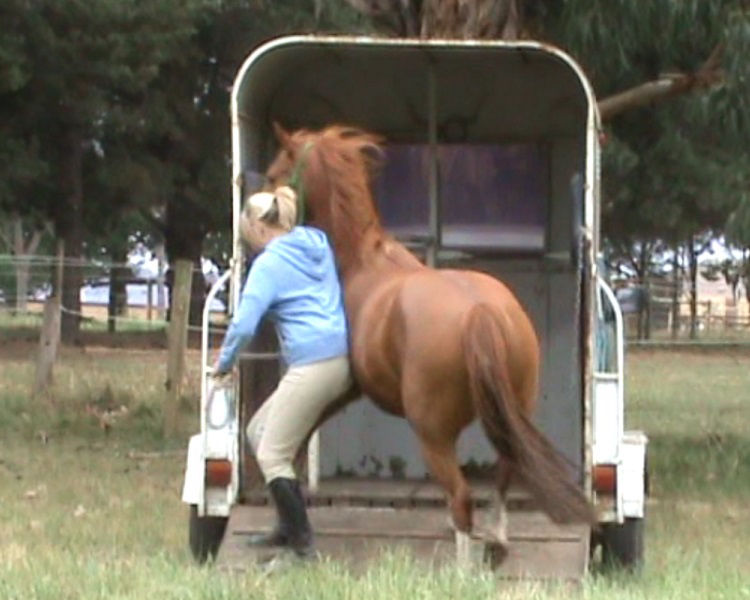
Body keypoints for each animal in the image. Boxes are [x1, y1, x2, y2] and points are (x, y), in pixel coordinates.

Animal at [265, 123, 593, 560]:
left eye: (273, 175)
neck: (360, 262)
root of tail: (481, 312)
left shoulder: (343, 389)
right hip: (506, 415)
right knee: (503, 474)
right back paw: (496, 541)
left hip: (433, 434)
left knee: (462, 497)